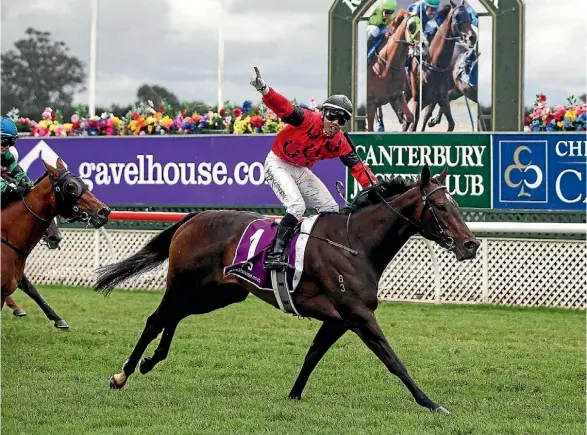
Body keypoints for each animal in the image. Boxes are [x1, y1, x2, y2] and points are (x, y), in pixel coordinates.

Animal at [93, 166, 478, 416]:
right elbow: (393, 359)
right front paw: (431, 403)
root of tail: (194, 217)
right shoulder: (357, 314)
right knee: (155, 319)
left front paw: (294, 394)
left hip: (218, 293)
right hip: (186, 284)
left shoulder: (338, 319)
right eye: (440, 206)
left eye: (456, 205)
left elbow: (313, 354)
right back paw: (123, 373)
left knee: (173, 317)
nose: (471, 244)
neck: (355, 243)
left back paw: (150, 361)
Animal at [406, 0, 480, 132]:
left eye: (470, 17)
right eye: (457, 16)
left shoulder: (442, 98)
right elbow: (413, 123)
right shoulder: (418, 99)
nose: (472, 37)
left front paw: (433, 121)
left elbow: (451, 124)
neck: (433, 66)